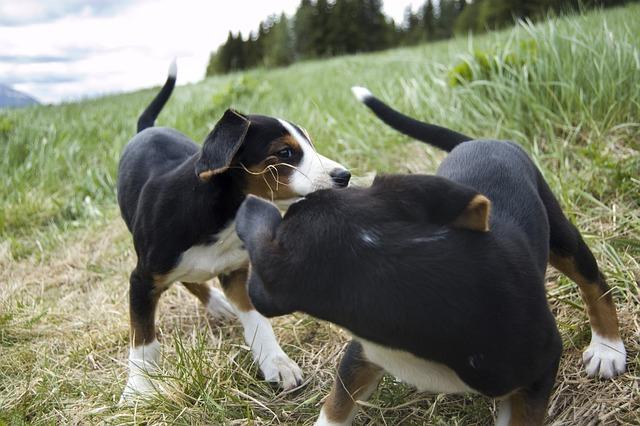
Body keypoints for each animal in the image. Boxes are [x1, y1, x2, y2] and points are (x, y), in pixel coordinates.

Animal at [117, 60, 352, 402]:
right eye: (285, 153)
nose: (344, 176)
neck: (221, 218)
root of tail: (147, 128)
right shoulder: (142, 279)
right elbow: (144, 342)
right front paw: (139, 390)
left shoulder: (237, 272)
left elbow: (257, 321)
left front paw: (276, 361)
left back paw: (218, 304)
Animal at [234, 86, 624, 422]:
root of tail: (475, 140)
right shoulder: (361, 353)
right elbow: (337, 404)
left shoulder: (538, 367)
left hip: (560, 233)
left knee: (593, 282)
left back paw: (608, 349)